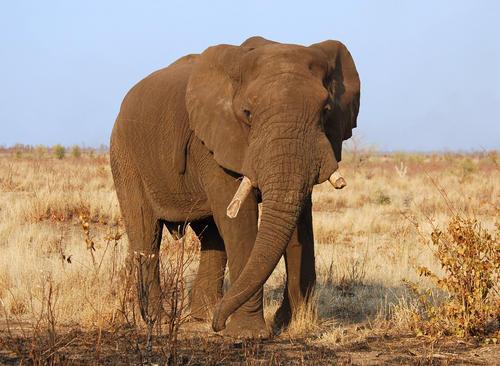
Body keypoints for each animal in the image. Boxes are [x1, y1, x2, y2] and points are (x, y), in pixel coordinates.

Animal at [110, 36, 360, 338]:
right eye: (247, 113)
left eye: (325, 111)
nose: (219, 325)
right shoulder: (212, 140)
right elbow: (240, 222)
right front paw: (247, 334)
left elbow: (299, 220)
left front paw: (292, 324)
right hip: (124, 153)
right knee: (146, 233)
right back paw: (159, 322)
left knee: (211, 237)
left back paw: (204, 315)